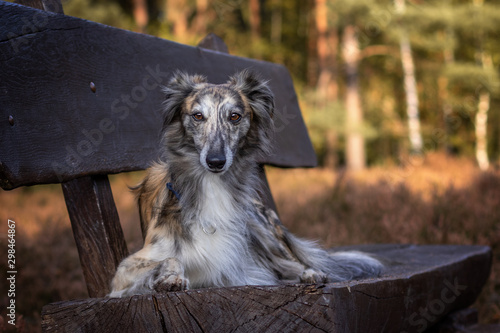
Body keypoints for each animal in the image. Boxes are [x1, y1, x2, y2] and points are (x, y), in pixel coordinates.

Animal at [108, 69, 382, 296]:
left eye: (235, 116)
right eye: (197, 116)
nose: (215, 162)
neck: (212, 186)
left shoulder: (237, 265)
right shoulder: (124, 271)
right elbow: (170, 259)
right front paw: (169, 279)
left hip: (262, 230)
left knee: (293, 264)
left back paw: (311, 273)